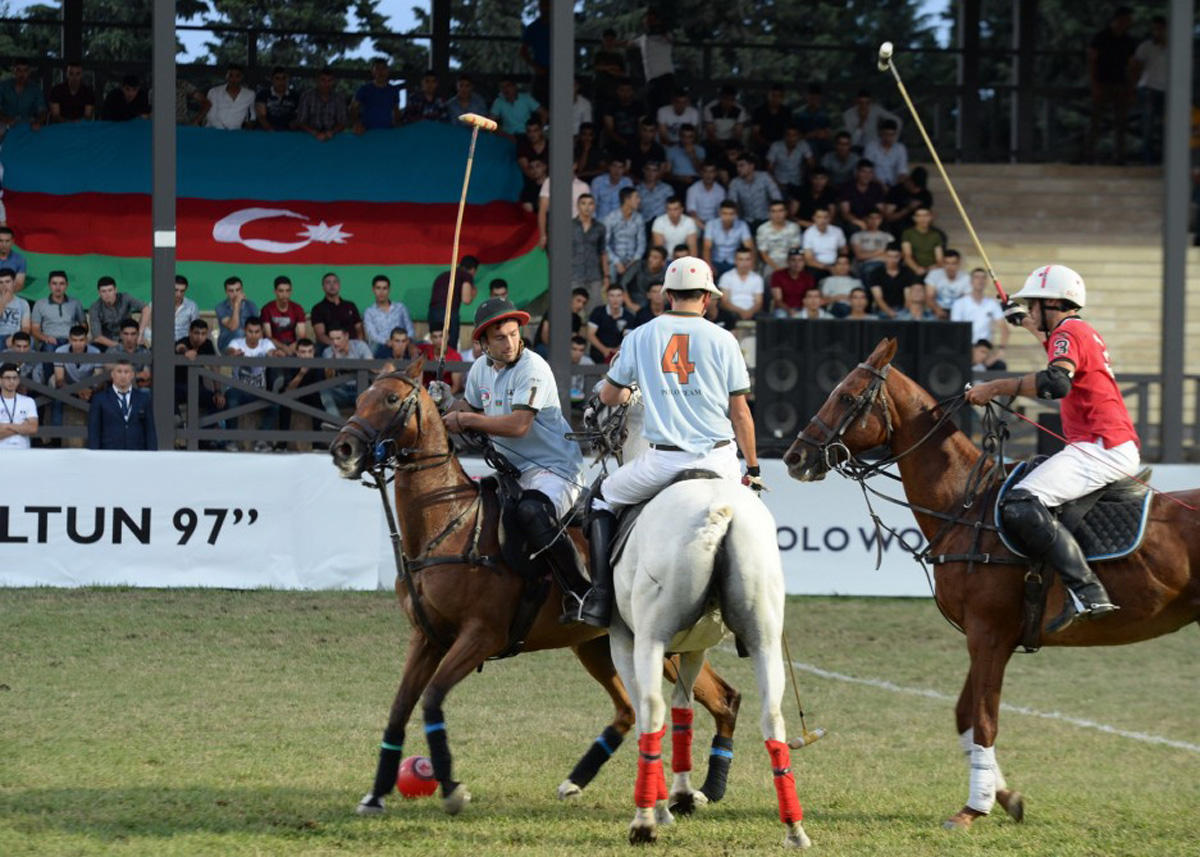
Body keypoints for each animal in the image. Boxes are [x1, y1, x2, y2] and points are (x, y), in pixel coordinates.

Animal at [331, 360, 739, 816]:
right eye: (361, 397)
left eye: (391, 399)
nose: (343, 449)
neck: (448, 522)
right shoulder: (426, 637)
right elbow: (400, 706)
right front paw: (376, 793)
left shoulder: (481, 636)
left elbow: (432, 697)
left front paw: (451, 786)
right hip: (593, 645)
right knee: (628, 710)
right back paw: (578, 780)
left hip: (661, 644)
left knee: (723, 697)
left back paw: (707, 789)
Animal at [600, 396, 816, 844]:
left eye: (599, 400)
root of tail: (720, 512)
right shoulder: (695, 645)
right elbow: (684, 708)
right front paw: (681, 796)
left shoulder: (624, 640)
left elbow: (655, 711)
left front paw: (662, 807)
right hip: (764, 637)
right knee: (773, 716)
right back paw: (794, 827)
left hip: (649, 637)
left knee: (651, 709)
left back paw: (643, 823)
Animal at [782, 338, 1195, 825]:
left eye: (846, 396)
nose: (794, 457)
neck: (964, 504)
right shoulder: (987, 637)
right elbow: (965, 715)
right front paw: (1005, 797)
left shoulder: (989, 633)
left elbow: (983, 719)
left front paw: (972, 808)